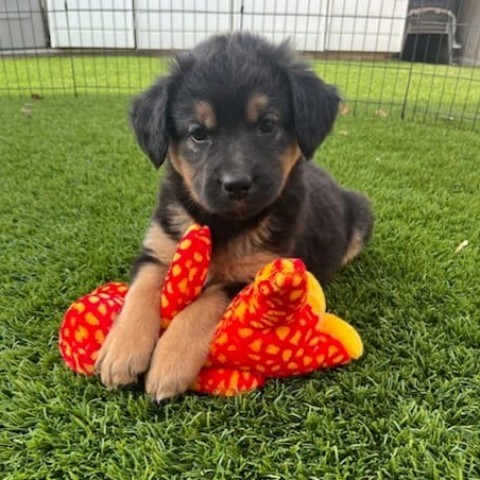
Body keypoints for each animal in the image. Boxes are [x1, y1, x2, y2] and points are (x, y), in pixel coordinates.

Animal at [95, 33, 374, 400]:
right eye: (198, 133)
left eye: (267, 125)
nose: (237, 184)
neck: (222, 224)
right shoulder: (158, 248)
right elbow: (142, 290)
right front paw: (122, 350)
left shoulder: (255, 273)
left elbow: (206, 301)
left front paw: (170, 361)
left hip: (362, 212)